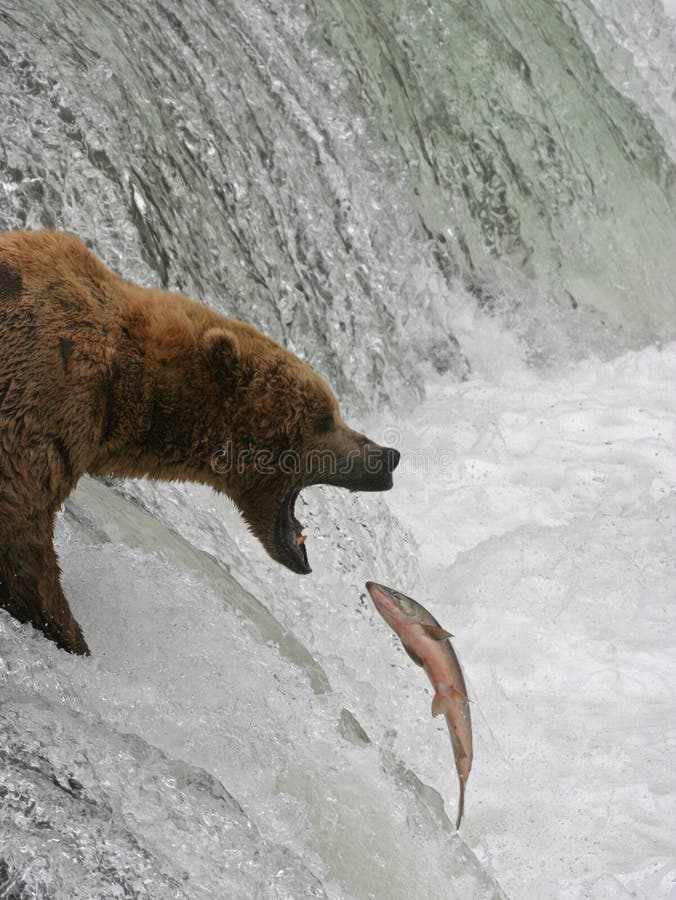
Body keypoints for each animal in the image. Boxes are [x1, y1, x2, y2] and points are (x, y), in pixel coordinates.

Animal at [0, 230, 400, 656]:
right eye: (325, 418)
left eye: (335, 413)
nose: (387, 456)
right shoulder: (48, 384)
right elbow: (22, 521)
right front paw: (71, 636)